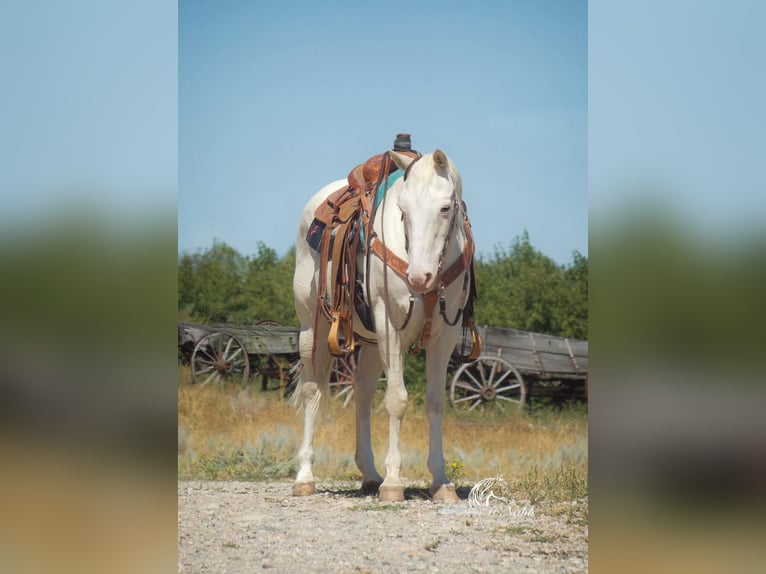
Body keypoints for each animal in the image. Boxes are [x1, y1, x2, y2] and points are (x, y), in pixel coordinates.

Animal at [292, 147, 474, 504]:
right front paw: (393, 482)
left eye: (445, 208)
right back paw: (305, 476)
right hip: (313, 329)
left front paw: (441, 481)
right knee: (312, 391)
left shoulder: (445, 335)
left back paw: (369, 473)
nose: (419, 277)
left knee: (362, 392)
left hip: (372, 343)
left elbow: (435, 401)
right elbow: (396, 400)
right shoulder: (390, 327)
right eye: (403, 210)